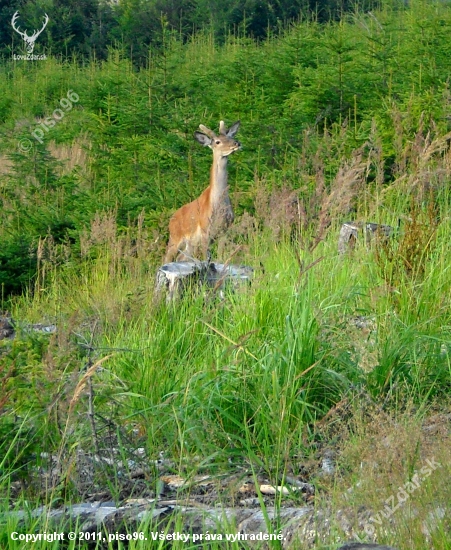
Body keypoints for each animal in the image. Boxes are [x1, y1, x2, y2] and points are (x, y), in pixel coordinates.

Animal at [164, 120, 242, 266]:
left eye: (229, 136)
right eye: (217, 141)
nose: (236, 143)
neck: (218, 204)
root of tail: (171, 220)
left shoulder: (225, 230)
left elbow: (221, 257)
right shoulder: (206, 230)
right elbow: (207, 258)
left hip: (191, 243)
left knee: (181, 258)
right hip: (175, 238)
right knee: (166, 258)